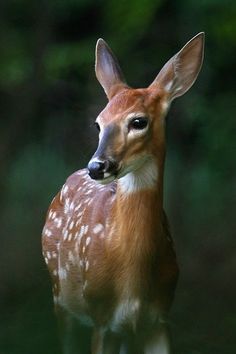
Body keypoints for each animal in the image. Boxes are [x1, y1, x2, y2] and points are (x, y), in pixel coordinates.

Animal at [42, 33, 205, 354]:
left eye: (138, 121)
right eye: (98, 123)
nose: (96, 166)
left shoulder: (159, 318)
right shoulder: (101, 317)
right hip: (59, 294)